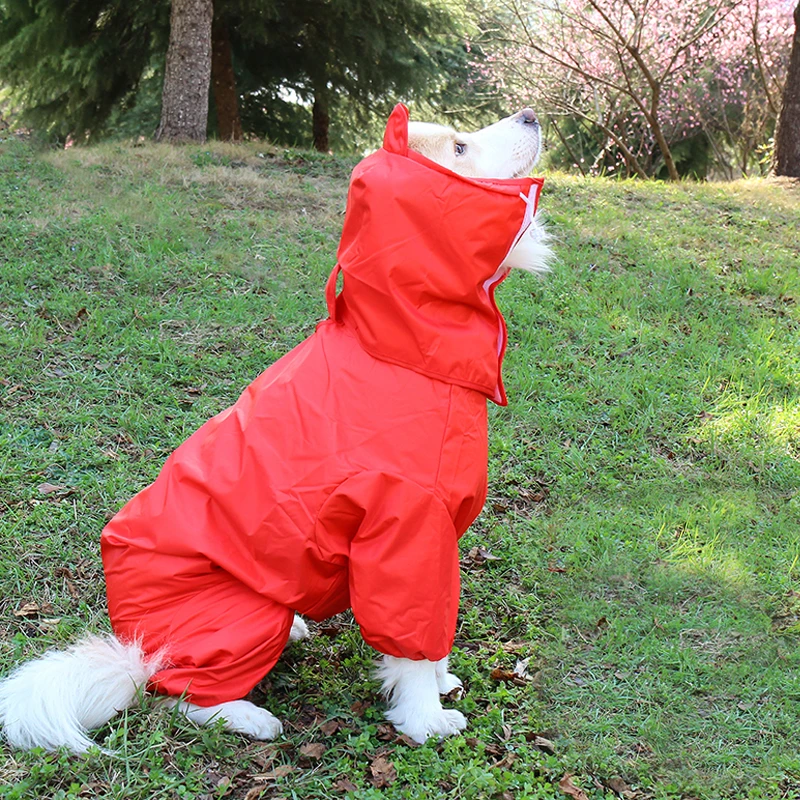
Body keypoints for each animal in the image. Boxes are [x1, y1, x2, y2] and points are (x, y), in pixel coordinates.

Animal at [0, 108, 552, 756]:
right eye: (460, 146)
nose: (532, 114)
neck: (398, 347)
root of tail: (137, 648)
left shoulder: (436, 541)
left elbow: (434, 637)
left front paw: (440, 683)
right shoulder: (408, 532)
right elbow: (412, 643)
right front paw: (424, 719)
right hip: (240, 615)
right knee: (181, 698)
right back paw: (248, 716)